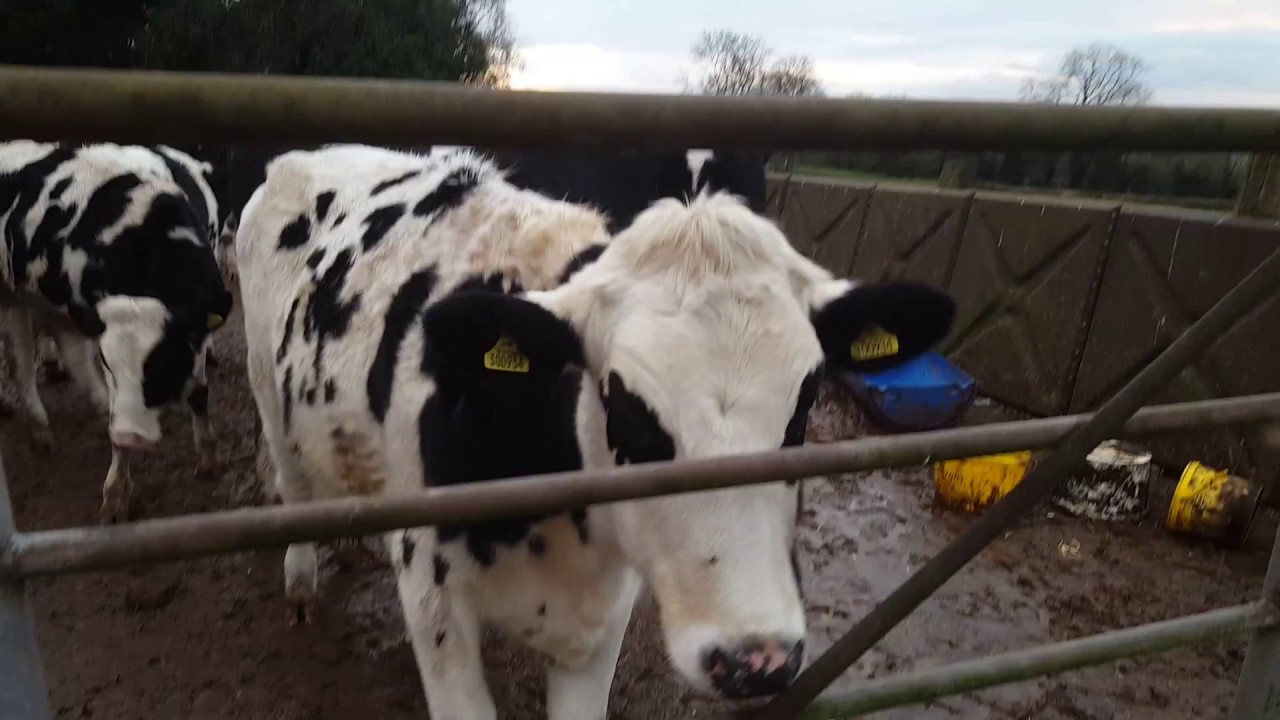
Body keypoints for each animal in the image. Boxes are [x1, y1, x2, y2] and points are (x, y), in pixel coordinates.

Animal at [0, 141, 234, 522]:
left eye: (163, 363)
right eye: (110, 363)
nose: (131, 436)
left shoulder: (195, 330)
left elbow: (199, 393)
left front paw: (208, 456)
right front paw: (116, 493)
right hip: (11, 295)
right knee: (22, 362)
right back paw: (40, 426)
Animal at [236, 142, 955, 720]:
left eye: (803, 403)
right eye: (627, 406)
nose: (757, 659)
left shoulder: (604, 617)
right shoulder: (433, 598)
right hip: (266, 380)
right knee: (290, 475)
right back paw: (301, 576)